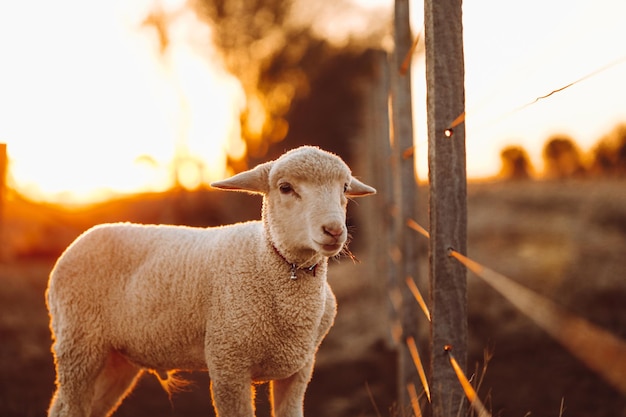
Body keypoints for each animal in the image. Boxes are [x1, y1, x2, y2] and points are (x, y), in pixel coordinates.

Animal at [46, 145, 376, 414]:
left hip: (116, 359)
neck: (266, 262)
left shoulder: (300, 370)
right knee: (68, 407)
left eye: (345, 187)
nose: (334, 230)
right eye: (285, 188)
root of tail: (80, 239)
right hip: (78, 345)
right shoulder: (228, 364)